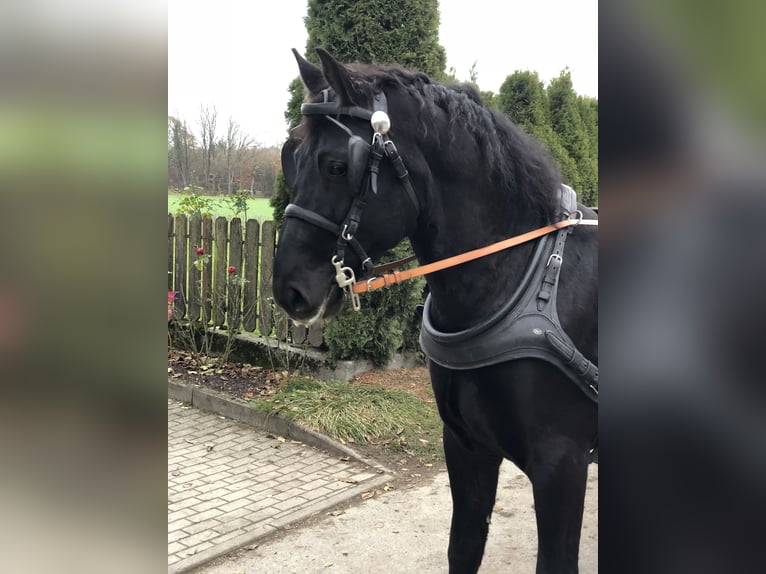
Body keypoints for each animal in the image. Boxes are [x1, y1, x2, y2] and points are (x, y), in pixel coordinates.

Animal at [274, 50, 600, 574]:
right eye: (292, 155)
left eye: (337, 165)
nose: (289, 289)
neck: (515, 283)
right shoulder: (466, 447)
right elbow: (463, 547)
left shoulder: (562, 465)